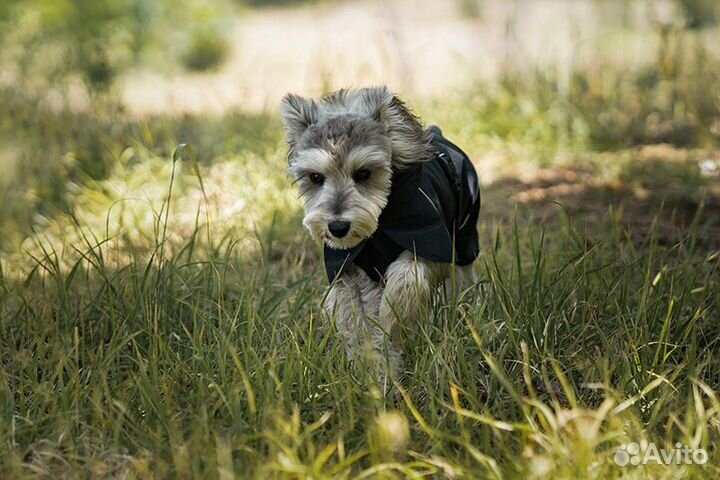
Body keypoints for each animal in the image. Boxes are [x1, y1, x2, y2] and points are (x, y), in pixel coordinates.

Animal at [280, 87, 478, 386]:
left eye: (364, 173)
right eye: (315, 177)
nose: (337, 227)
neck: (379, 228)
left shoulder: (432, 244)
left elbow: (406, 276)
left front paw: (396, 320)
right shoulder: (349, 271)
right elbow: (358, 321)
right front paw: (374, 372)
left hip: (466, 236)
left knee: (466, 276)